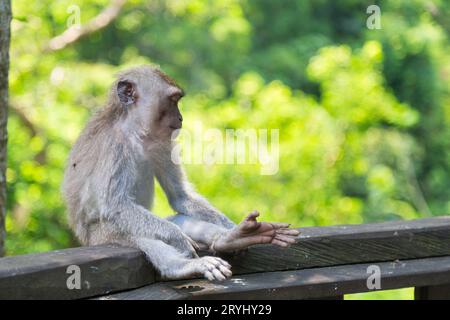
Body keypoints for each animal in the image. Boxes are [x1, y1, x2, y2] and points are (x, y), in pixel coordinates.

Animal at [59, 65, 298, 280]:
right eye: (173, 100)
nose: (181, 118)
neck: (135, 133)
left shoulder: (162, 144)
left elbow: (180, 196)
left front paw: (235, 228)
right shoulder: (114, 146)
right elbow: (115, 206)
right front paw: (181, 240)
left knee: (178, 219)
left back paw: (231, 238)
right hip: (102, 236)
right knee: (135, 232)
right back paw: (183, 266)